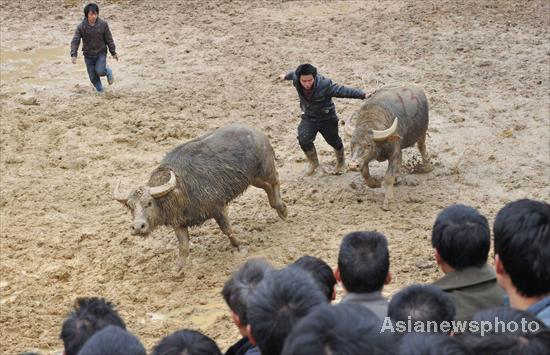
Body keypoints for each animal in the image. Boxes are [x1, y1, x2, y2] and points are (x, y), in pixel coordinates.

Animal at [115, 124, 292, 268]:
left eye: (149, 203)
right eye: (130, 207)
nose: (138, 227)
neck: (179, 189)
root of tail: (257, 133)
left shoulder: (218, 208)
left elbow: (227, 230)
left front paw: (240, 247)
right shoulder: (178, 223)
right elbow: (183, 246)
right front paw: (178, 270)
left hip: (265, 168)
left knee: (275, 180)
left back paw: (283, 210)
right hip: (253, 178)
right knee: (268, 187)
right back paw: (279, 209)